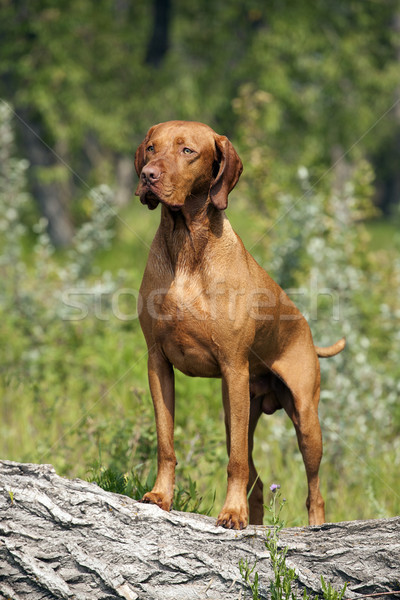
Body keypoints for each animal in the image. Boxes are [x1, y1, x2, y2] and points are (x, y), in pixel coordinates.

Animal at [134, 118, 344, 528]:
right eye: (151, 147)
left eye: (187, 151)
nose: (148, 176)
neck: (185, 243)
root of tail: (308, 332)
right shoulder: (157, 363)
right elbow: (166, 442)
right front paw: (161, 495)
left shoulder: (233, 366)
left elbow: (234, 463)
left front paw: (232, 513)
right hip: (240, 408)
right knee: (258, 481)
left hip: (304, 419)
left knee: (313, 489)